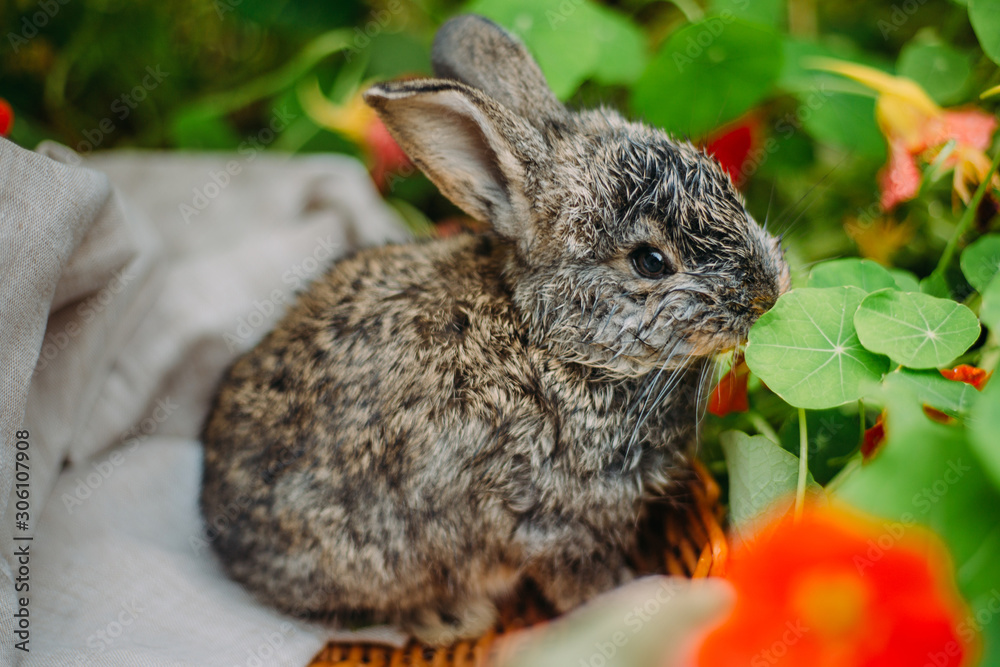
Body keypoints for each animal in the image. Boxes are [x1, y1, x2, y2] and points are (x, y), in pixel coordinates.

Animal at [199, 14, 790, 646]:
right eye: (650, 262)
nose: (767, 293)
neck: (553, 346)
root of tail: (213, 512)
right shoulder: (553, 522)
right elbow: (587, 584)